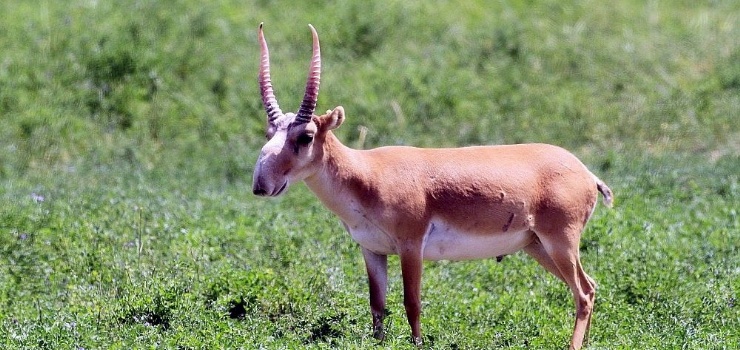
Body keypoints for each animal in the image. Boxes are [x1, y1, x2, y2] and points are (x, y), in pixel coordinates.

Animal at [253, 23, 612, 348]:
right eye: (270, 133)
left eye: (305, 136)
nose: (261, 184)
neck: (366, 173)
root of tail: (586, 173)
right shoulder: (372, 250)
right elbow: (377, 306)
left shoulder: (411, 246)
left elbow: (412, 303)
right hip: (537, 245)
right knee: (590, 287)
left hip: (560, 242)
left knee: (583, 292)